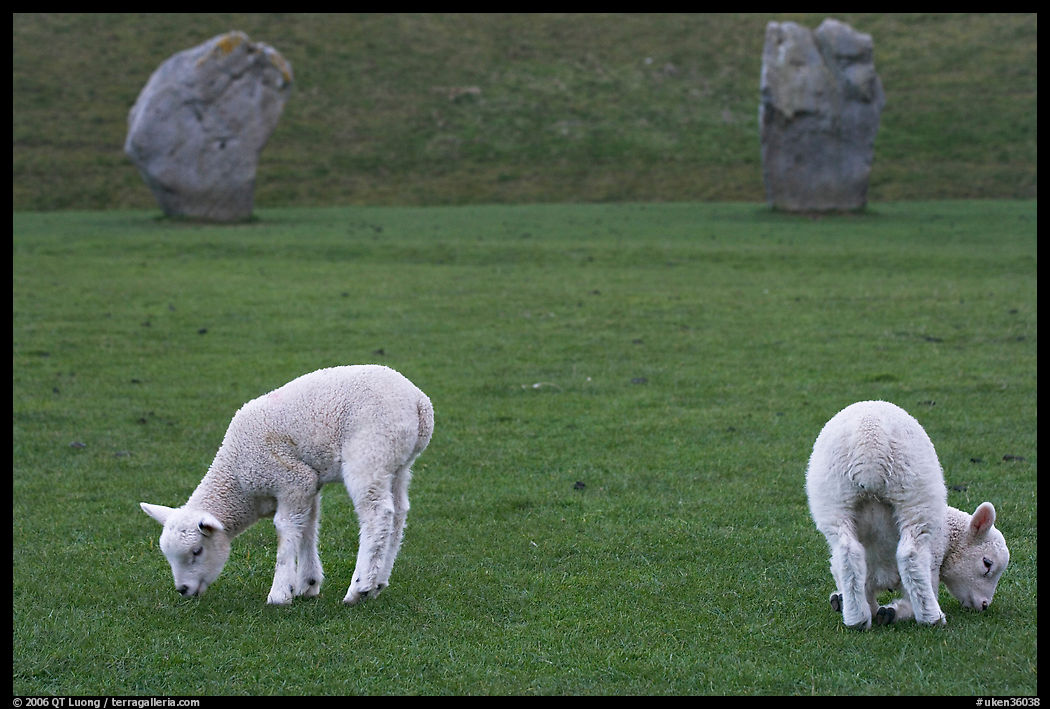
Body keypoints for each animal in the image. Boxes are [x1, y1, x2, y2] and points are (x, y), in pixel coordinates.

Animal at [141, 364, 434, 606]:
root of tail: (419, 403)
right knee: (398, 514)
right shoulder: (308, 484)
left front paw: (280, 593)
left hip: (369, 453)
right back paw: (378, 582)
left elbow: (285, 529)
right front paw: (308, 584)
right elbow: (307, 527)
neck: (238, 482)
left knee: (377, 515)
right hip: (397, 464)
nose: (183, 589)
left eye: (197, 551)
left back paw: (359, 587)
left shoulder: (291, 479)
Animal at [805, 400, 1009, 629]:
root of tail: (870, 440)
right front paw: (894, 612)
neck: (948, 536)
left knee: (848, 553)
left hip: (834, 499)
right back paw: (932, 617)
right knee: (910, 555)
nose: (984, 605)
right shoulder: (933, 563)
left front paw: (857, 606)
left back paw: (857, 618)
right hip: (914, 494)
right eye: (987, 564)